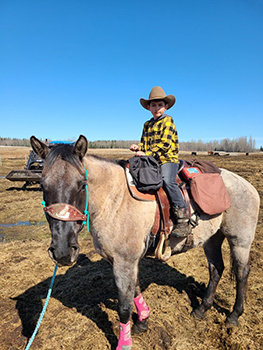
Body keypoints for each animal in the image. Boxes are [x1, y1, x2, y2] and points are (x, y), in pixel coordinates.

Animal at [29, 135, 260, 350]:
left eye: (82, 184)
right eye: (42, 185)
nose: (62, 252)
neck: (115, 200)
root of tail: (246, 184)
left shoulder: (124, 262)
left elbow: (124, 306)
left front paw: (124, 342)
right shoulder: (125, 261)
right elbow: (135, 291)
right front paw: (143, 320)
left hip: (240, 241)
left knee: (241, 273)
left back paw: (234, 315)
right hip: (212, 239)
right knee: (216, 269)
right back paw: (202, 308)